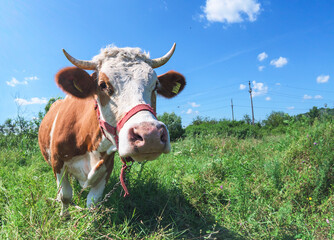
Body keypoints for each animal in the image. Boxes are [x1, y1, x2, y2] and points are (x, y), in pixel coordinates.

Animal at [39, 43, 187, 218]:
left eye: (155, 85)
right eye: (102, 84)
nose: (150, 135)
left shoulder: (106, 166)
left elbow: (93, 202)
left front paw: (90, 221)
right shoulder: (57, 161)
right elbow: (65, 195)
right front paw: (64, 217)